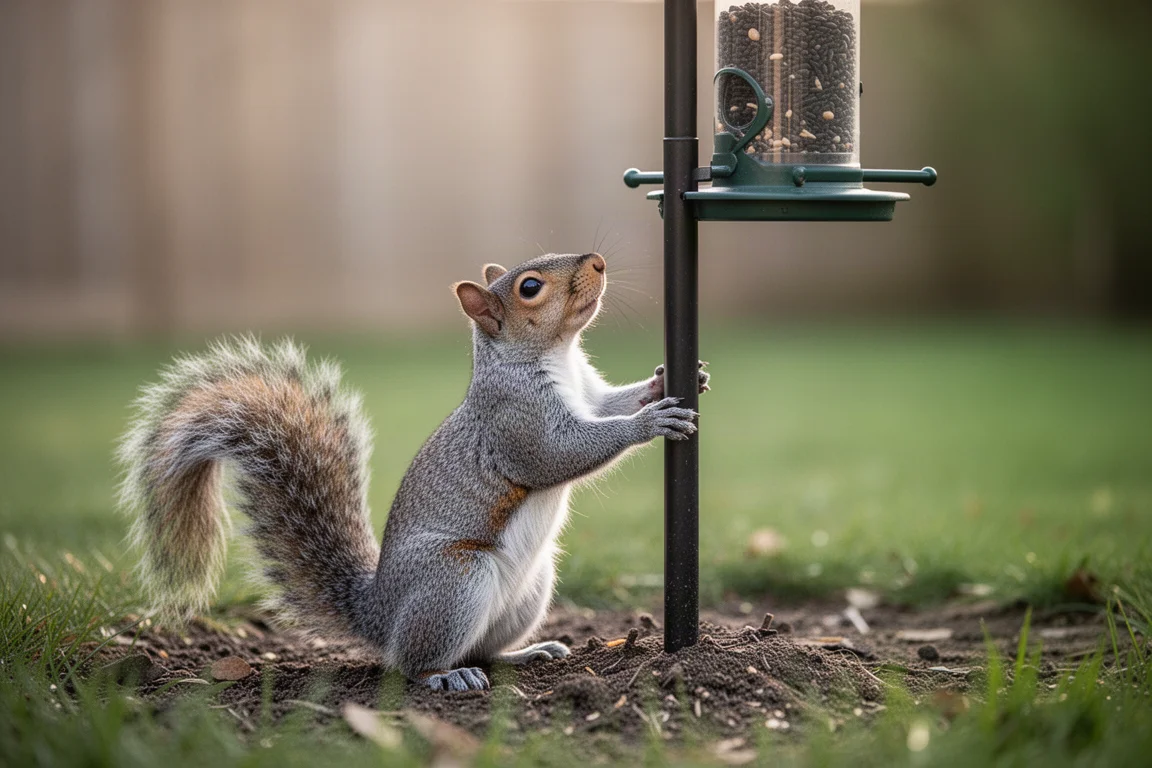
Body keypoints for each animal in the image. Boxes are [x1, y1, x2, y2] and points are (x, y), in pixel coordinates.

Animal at [119, 252, 710, 691]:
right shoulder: (515, 420)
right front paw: (651, 422)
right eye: (531, 287)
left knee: (484, 649)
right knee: (412, 662)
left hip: (530, 588)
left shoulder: (588, 392)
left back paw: (523, 655)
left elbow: (610, 403)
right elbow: (561, 454)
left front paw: (668, 382)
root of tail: (379, 614)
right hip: (455, 580)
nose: (599, 261)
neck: (554, 357)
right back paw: (444, 678)